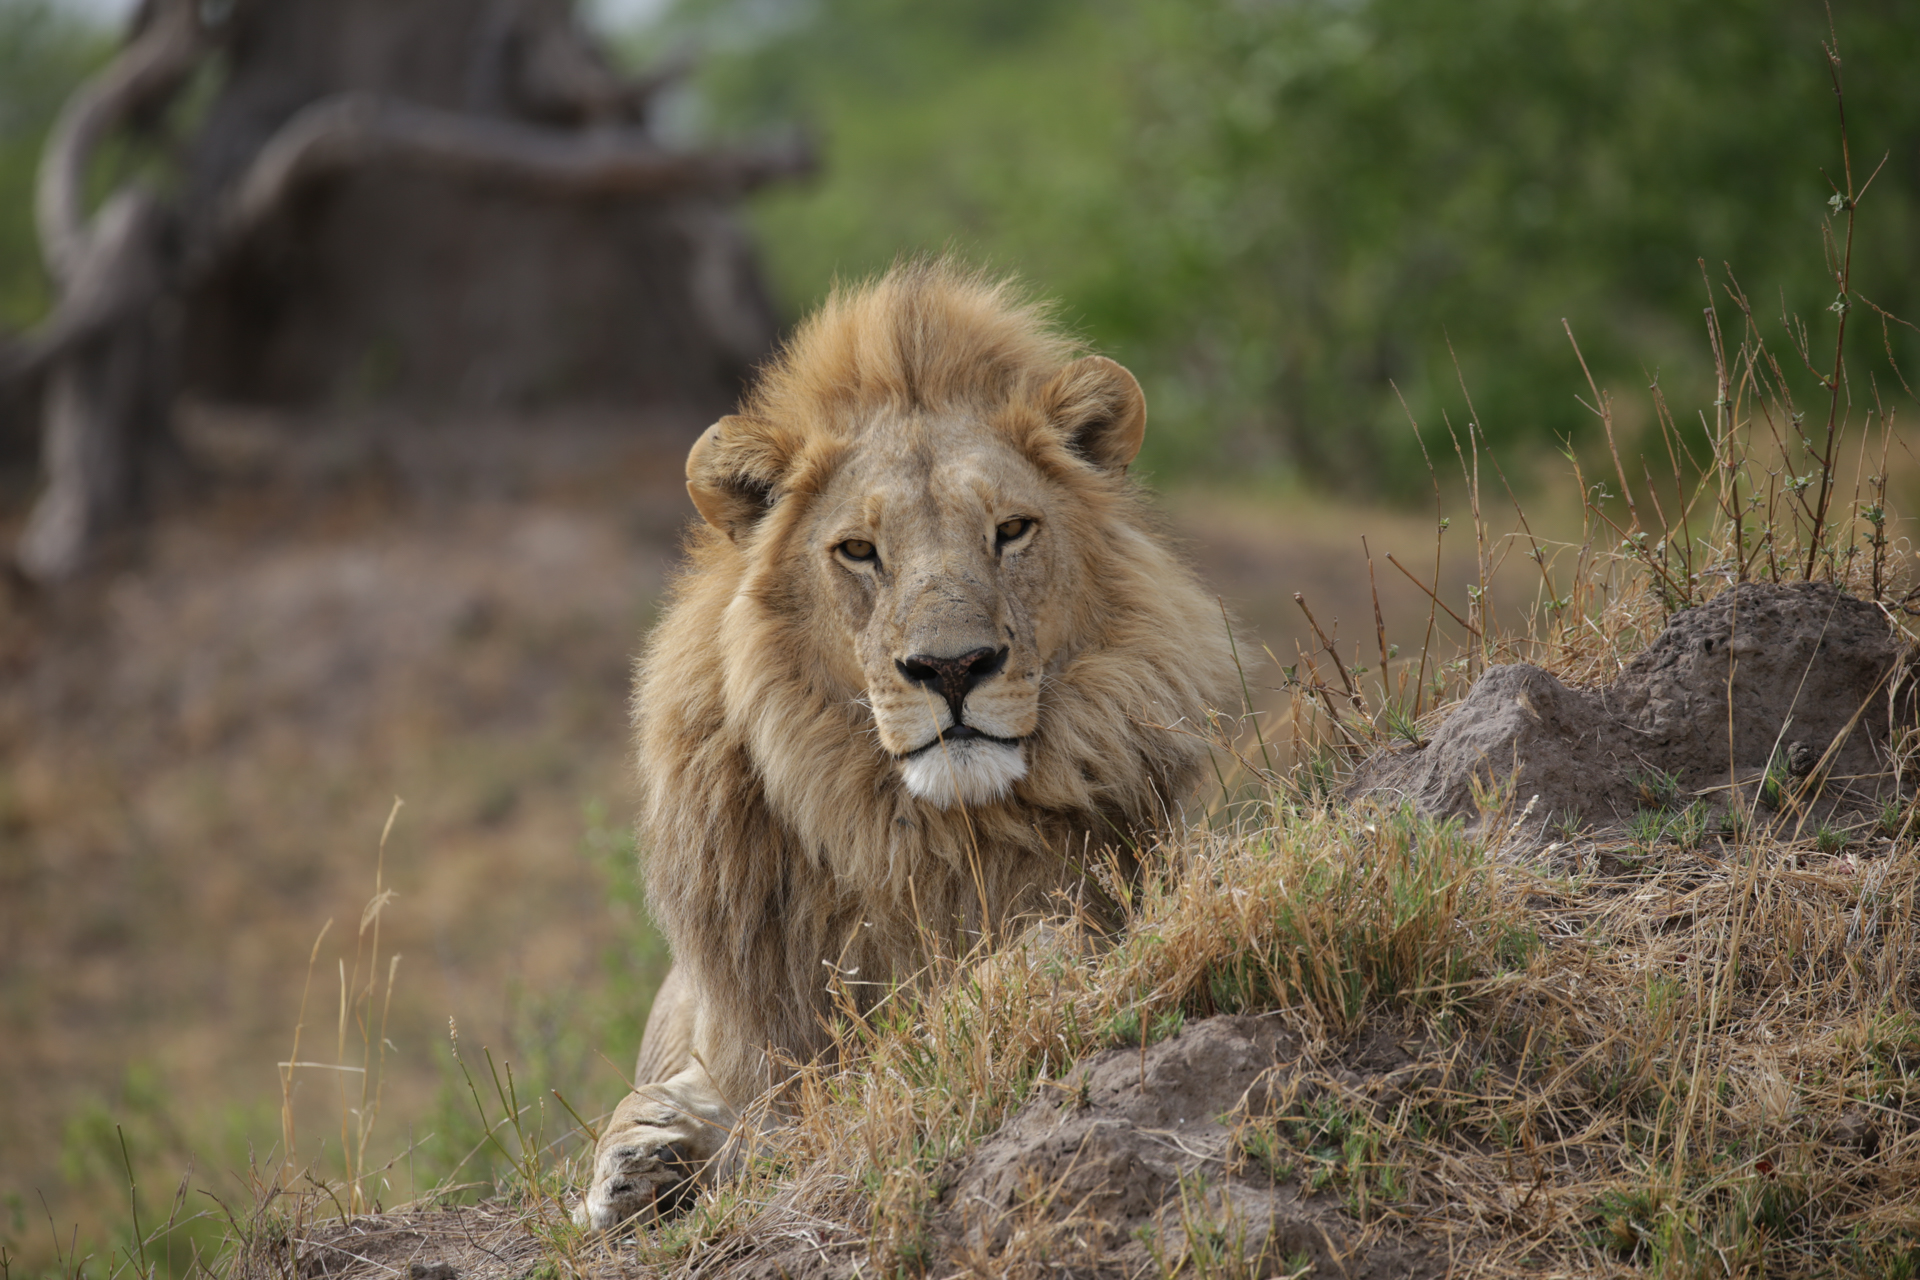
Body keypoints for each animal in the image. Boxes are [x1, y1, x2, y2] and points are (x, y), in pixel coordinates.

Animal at [576, 260, 1236, 1228]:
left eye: (1011, 530)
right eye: (858, 550)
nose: (952, 667)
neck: (915, 841)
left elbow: (1003, 976)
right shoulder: (736, 1034)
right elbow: (660, 1095)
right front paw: (640, 1157)